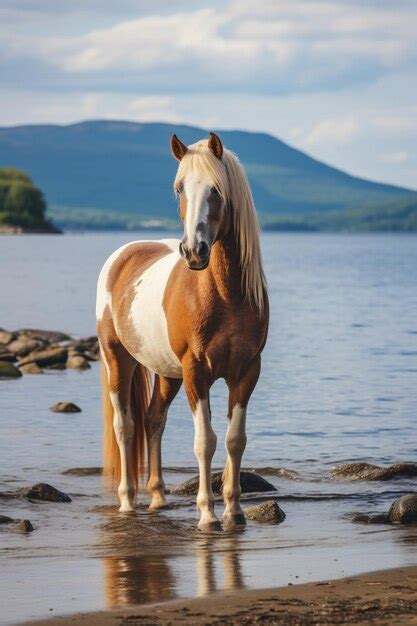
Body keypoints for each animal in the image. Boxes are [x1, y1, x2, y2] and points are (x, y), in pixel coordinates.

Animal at [96, 130, 268, 528]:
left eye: (216, 189)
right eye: (179, 188)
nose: (193, 251)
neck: (226, 294)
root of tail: (123, 254)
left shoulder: (247, 371)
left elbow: (235, 439)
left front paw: (234, 510)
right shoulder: (196, 371)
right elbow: (205, 441)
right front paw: (207, 513)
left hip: (166, 374)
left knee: (153, 420)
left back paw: (158, 497)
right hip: (117, 360)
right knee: (126, 427)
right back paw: (128, 500)